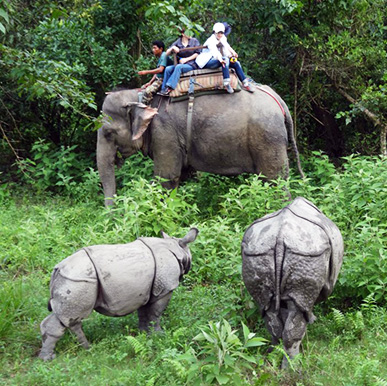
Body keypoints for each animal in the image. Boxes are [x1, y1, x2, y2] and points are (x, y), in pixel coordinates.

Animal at [38, 228, 200, 360]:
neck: (175, 246)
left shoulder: (146, 289)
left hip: (72, 281)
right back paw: (53, 357)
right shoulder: (165, 288)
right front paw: (159, 335)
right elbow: (155, 314)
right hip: (78, 281)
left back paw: (81, 349)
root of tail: (57, 270)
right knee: (71, 316)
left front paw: (143, 334)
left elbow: (143, 313)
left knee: (67, 317)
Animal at [96, 85, 304, 205]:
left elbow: (166, 178)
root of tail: (280, 103)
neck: (138, 94)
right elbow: (183, 176)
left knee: (276, 181)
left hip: (268, 138)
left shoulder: (165, 132)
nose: (112, 218)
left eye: (108, 133)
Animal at [241, 199, 344, 368]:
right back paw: (294, 366)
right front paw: (312, 320)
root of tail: (280, 237)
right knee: (296, 313)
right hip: (307, 253)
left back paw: (273, 357)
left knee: (269, 310)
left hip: (256, 253)